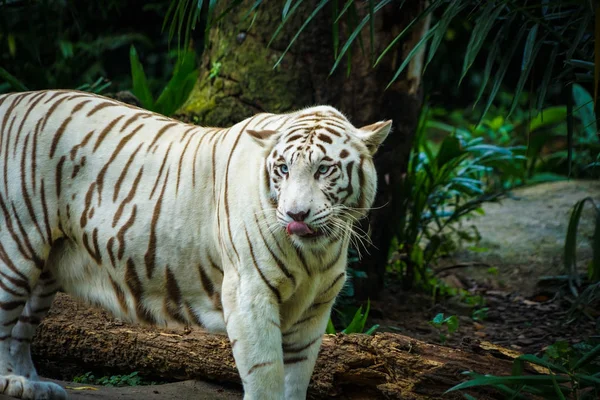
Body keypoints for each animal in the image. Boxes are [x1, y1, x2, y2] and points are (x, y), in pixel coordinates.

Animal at [0, 89, 392, 398]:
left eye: (324, 169)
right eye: (282, 169)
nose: (296, 214)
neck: (315, 255)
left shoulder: (315, 308)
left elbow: (296, 381)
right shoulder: (250, 293)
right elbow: (266, 376)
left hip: (46, 268)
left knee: (21, 329)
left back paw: (35, 386)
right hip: (15, 246)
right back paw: (14, 383)